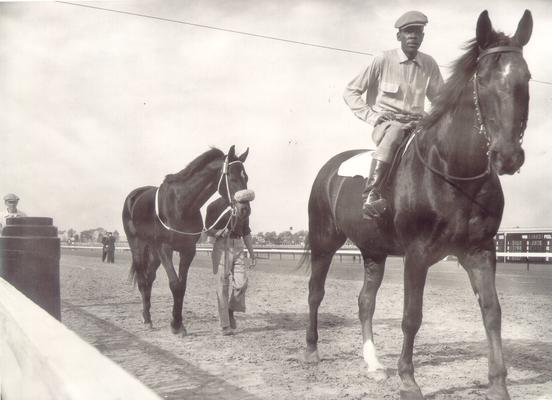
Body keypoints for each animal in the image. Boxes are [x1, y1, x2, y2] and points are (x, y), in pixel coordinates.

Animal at [123, 146, 250, 334]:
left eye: (246, 177)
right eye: (232, 177)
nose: (245, 210)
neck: (181, 204)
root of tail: (134, 196)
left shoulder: (188, 250)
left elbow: (182, 286)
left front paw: (178, 323)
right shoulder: (165, 248)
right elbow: (175, 284)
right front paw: (176, 326)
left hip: (153, 251)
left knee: (149, 278)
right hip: (137, 246)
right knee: (142, 280)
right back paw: (146, 319)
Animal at [304, 9, 532, 400]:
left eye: (526, 77)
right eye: (484, 79)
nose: (508, 156)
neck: (454, 173)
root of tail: (330, 169)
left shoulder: (480, 251)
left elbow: (492, 311)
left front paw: (498, 383)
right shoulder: (417, 254)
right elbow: (412, 315)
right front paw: (408, 379)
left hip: (373, 251)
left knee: (365, 302)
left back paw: (374, 365)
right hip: (324, 242)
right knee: (315, 293)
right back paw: (312, 349)